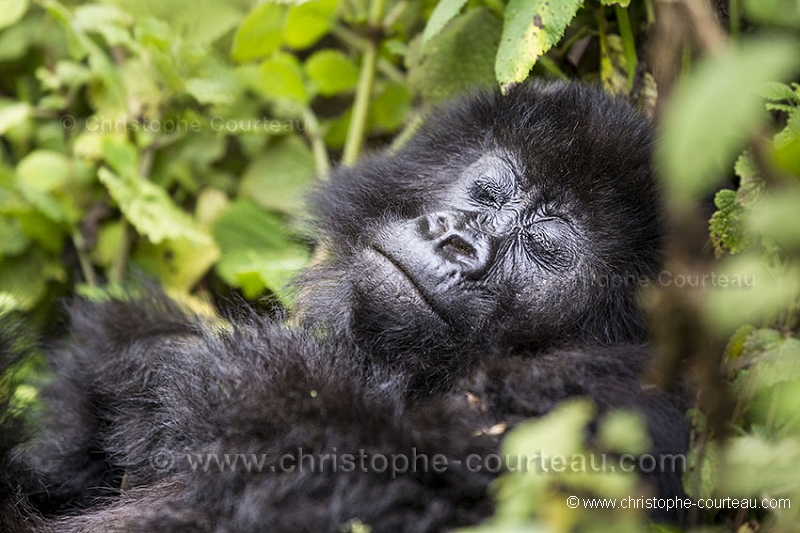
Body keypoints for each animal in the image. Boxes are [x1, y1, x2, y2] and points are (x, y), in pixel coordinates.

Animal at [0, 81, 688, 528]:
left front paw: (214, 370)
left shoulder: (603, 397)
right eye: (486, 191)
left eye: (546, 248)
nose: (456, 240)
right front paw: (138, 352)